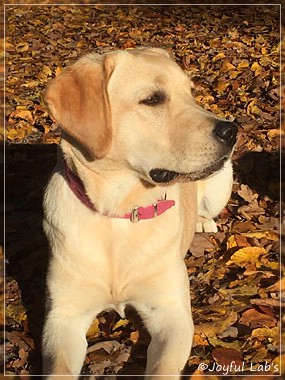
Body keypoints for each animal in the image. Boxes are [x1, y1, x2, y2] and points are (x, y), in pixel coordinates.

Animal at [42, 46, 236, 378]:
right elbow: (58, 369)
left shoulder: (171, 312)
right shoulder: (62, 316)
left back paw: (202, 221)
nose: (232, 130)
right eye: (153, 99)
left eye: (191, 93)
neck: (119, 214)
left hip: (221, 183)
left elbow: (162, 369)